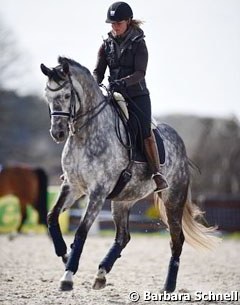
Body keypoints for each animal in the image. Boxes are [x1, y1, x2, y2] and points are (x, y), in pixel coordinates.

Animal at [39, 57, 219, 292]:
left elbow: (81, 231)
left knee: (176, 239)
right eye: (47, 96)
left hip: (173, 199)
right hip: (122, 201)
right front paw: (64, 255)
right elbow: (51, 216)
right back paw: (101, 274)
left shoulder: (98, 192)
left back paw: (168, 286)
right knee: (123, 237)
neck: (86, 134)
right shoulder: (72, 186)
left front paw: (68, 275)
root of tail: (180, 143)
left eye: (67, 95)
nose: (58, 133)